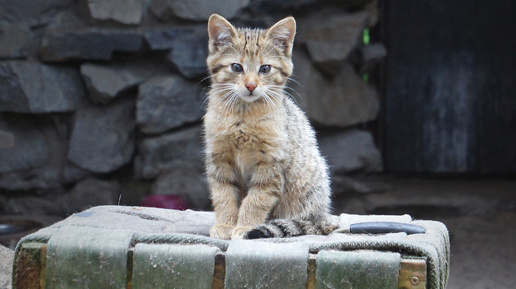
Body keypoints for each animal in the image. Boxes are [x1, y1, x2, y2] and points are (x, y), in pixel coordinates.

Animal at [202, 13, 334, 238]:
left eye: (265, 69)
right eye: (236, 67)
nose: (251, 85)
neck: (243, 117)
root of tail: (323, 215)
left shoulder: (271, 164)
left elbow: (256, 200)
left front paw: (245, 226)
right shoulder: (219, 158)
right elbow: (223, 196)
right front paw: (225, 225)